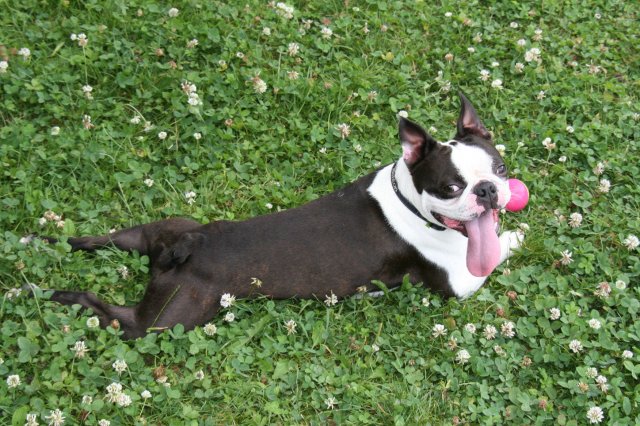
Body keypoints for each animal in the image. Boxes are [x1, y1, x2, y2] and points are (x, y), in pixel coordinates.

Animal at [40, 94, 521, 339]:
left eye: (499, 169)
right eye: (450, 188)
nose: (488, 191)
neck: (407, 197)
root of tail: (189, 244)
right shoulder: (460, 282)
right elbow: (497, 253)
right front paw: (516, 237)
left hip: (166, 228)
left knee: (104, 239)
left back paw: (46, 243)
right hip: (170, 318)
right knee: (118, 317)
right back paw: (62, 294)